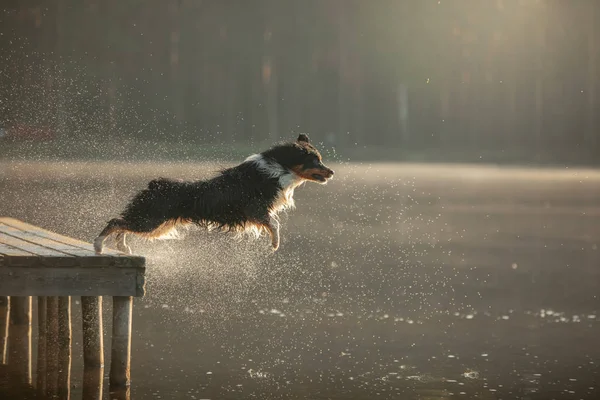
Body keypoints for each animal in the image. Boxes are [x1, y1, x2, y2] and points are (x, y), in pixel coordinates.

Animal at [96, 134, 336, 253]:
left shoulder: (258, 212)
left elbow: (274, 223)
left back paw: (122, 246)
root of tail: (154, 184)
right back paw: (98, 245)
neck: (278, 167)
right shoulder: (256, 210)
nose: (332, 172)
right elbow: (275, 224)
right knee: (115, 221)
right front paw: (274, 245)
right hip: (152, 220)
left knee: (123, 224)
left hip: (157, 223)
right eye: (316, 160)